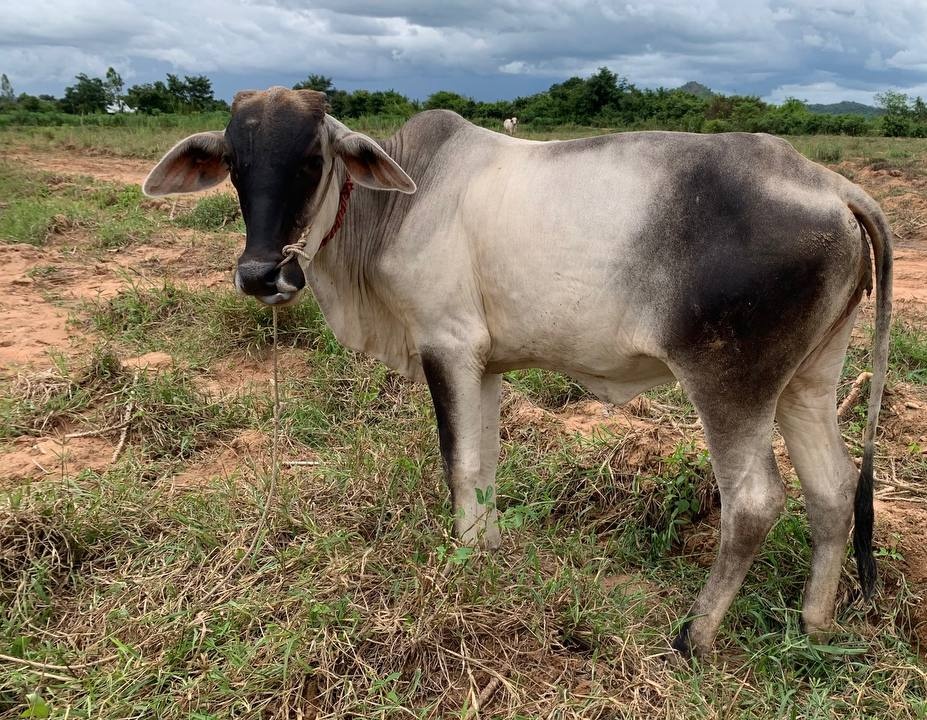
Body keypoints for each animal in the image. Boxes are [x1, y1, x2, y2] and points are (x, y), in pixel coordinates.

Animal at [143, 87, 892, 657]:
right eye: (235, 164)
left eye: (309, 160)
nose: (260, 274)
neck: (399, 201)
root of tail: (830, 185)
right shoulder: (485, 362)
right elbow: (485, 465)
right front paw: (489, 551)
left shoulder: (445, 344)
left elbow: (456, 462)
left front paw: (463, 563)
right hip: (808, 380)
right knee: (832, 491)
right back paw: (814, 622)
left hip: (730, 382)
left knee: (754, 502)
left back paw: (696, 636)